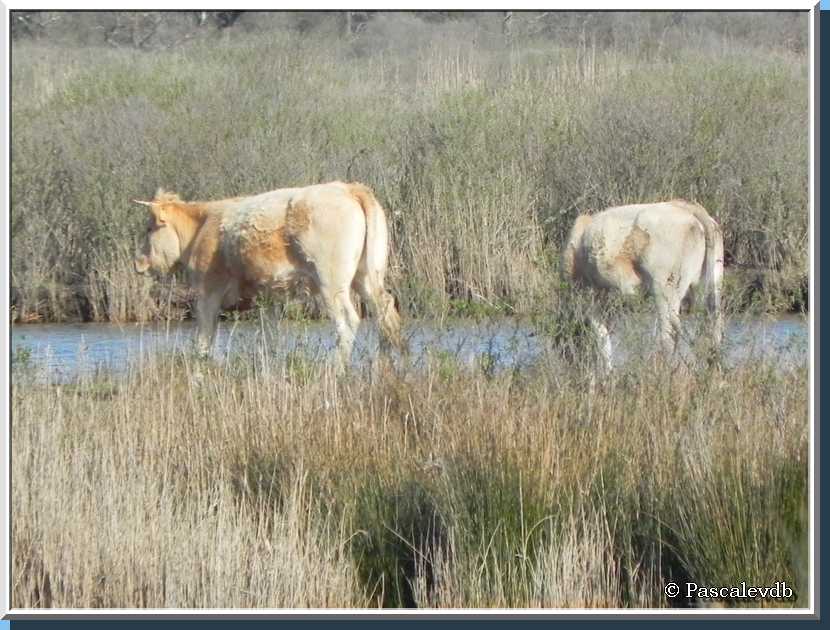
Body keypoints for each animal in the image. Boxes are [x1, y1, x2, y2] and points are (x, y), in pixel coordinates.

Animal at [134, 181, 406, 370]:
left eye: (148, 229)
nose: (138, 262)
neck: (202, 226)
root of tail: (349, 188)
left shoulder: (206, 294)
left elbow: (204, 339)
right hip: (367, 277)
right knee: (385, 312)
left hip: (331, 283)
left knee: (348, 321)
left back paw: (335, 369)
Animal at [564, 201, 724, 370]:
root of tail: (687, 207)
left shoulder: (587, 295)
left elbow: (601, 337)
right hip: (712, 285)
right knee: (714, 331)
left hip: (665, 292)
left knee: (668, 335)